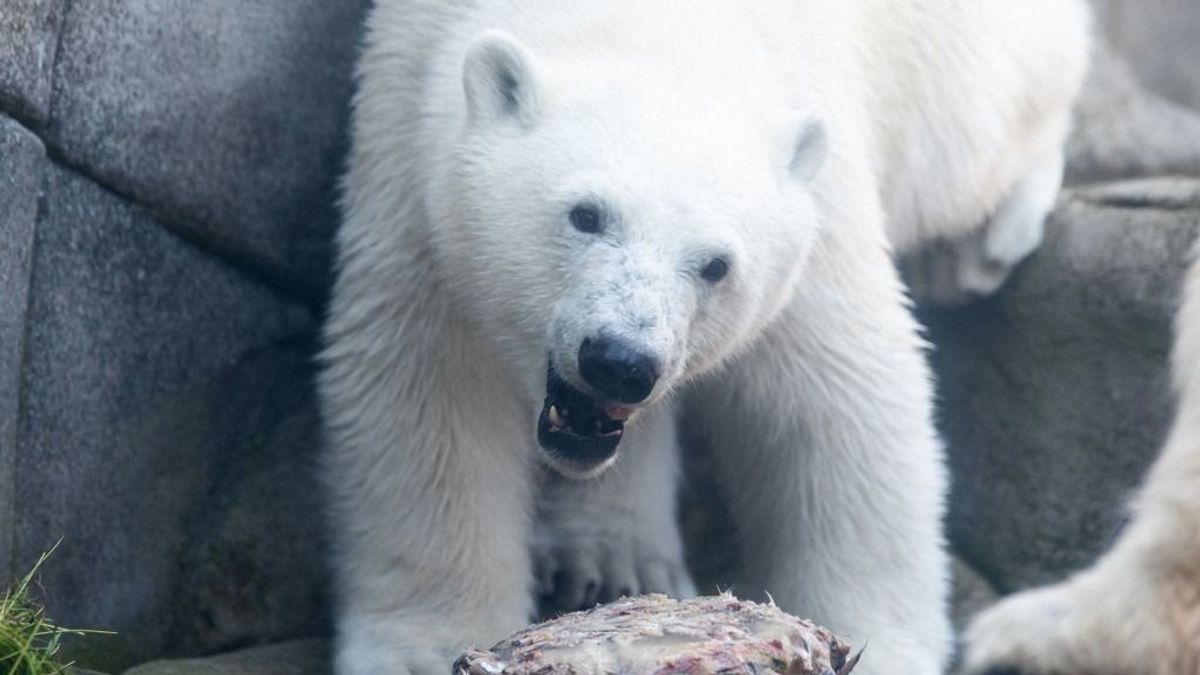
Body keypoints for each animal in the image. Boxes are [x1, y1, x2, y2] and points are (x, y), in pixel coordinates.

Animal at [316, 1, 1089, 672]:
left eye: (716, 264)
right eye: (586, 214)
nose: (621, 361)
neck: (654, 27)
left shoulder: (813, 217)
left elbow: (838, 406)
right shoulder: (409, 145)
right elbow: (431, 396)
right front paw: (419, 651)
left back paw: (981, 243)